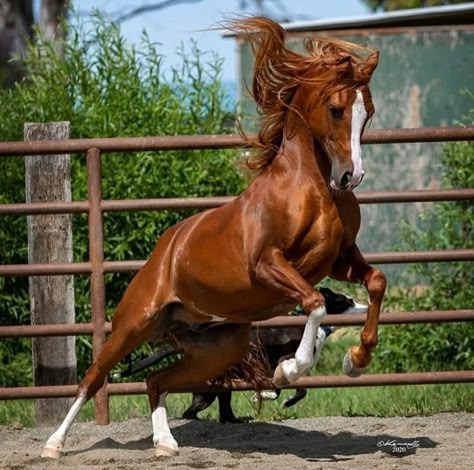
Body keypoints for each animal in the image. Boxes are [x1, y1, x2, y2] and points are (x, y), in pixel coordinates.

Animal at [41, 17, 386, 458]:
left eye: (367, 113)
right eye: (335, 109)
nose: (349, 177)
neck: (310, 190)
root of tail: (163, 252)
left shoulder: (340, 259)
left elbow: (375, 282)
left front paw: (354, 360)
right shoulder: (268, 264)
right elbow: (314, 303)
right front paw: (287, 369)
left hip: (217, 349)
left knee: (156, 381)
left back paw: (165, 444)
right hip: (133, 325)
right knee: (93, 378)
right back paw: (54, 444)